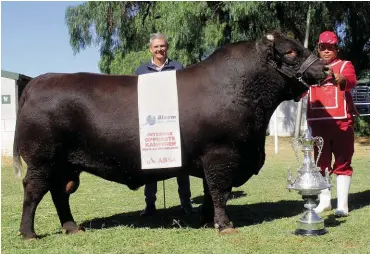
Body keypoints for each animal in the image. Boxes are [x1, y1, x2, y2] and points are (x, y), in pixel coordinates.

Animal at [13, 30, 326, 239]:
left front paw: (206, 220)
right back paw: (29, 233)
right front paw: (225, 226)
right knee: (33, 191)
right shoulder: (222, 154)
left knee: (58, 193)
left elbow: (210, 192)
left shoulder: (211, 158)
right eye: (291, 52)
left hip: (64, 165)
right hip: (42, 160)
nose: (323, 68)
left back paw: (71, 227)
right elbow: (220, 191)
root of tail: (38, 82)